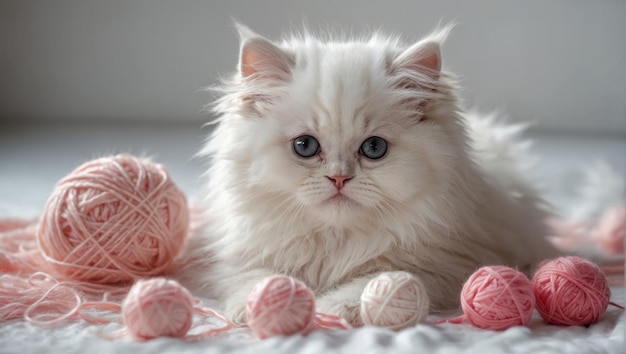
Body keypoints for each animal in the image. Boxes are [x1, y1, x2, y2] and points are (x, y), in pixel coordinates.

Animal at [174, 24, 556, 326]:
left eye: (374, 148)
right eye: (304, 146)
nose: (339, 178)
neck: (335, 240)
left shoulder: (442, 266)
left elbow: (372, 286)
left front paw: (330, 309)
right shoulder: (240, 254)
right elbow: (256, 277)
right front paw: (262, 303)